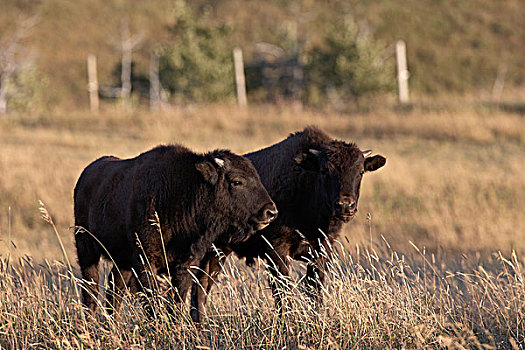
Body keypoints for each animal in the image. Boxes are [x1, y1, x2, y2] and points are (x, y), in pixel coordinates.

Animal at [75, 144, 278, 314]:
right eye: (237, 181)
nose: (271, 212)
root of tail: (86, 174)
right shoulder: (145, 260)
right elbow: (153, 303)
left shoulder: (185, 263)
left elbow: (177, 301)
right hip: (86, 248)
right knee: (91, 289)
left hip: (122, 260)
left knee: (115, 288)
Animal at [188, 126, 384, 322]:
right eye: (324, 170)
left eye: (360, 171)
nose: (345, 205)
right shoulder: (277, 251)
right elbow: (283, 291)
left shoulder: (322, 251)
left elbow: (314, 289)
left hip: (219, 251)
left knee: (202, 284)